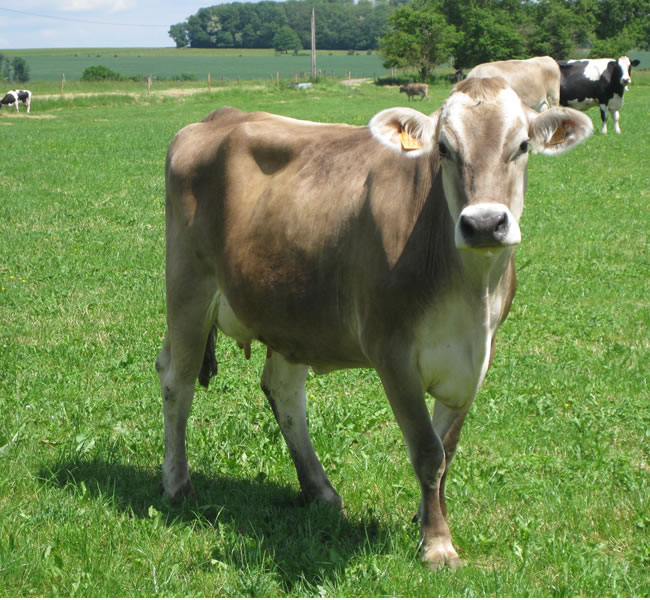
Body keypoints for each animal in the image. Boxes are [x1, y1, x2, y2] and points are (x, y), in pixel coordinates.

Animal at [157, 77, 592, 568]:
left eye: (521, 146)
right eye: (443, 148)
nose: (483, 224)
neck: (470, 292)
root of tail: (218, 116)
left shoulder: (477, 357)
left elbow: (448, 450)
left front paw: (429, 517)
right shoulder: (392, 352)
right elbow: (427, 450)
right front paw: (438, 544)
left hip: (291, 310)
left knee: (283, 392)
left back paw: (320, 490)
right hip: (188, 287)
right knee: (177, 380)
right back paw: (177, 484)